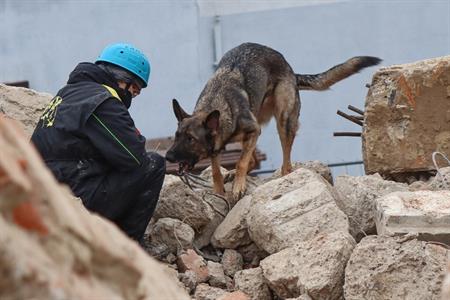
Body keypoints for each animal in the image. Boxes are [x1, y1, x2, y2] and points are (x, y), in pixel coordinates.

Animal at [165, 42, 380, 200]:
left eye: (191, 139)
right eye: (177, 136)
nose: (167, 157)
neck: (217, 101)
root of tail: (289, 68)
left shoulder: (252, 130)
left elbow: (241, 163)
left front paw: (238, 187)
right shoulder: (220, 145)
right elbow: (218, 169)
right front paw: (219, 189)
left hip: (283, 122)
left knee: (285, 163)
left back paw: (283, 179)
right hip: (256, 124)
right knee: (252, 158)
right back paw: (234, 174)